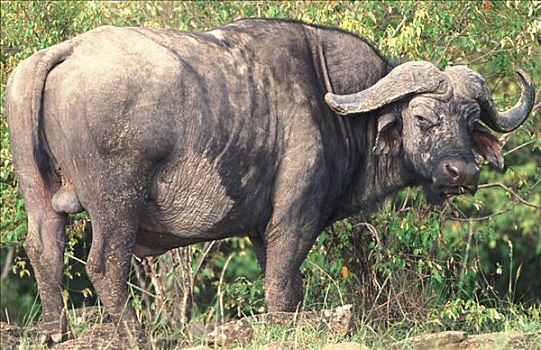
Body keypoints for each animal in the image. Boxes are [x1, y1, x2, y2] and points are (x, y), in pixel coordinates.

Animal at [6, 17, 532, 344]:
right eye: (423, 118)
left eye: (470, 119)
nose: (462, 172)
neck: (337, 107)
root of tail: (68, 49)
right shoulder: (292, 220)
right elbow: (283, 285)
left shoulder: (261, 231)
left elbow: (281, 281)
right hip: (118, 202)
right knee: (105, 265)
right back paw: (135, 336)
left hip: (39, 197)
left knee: (44, 248)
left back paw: (54, 332)